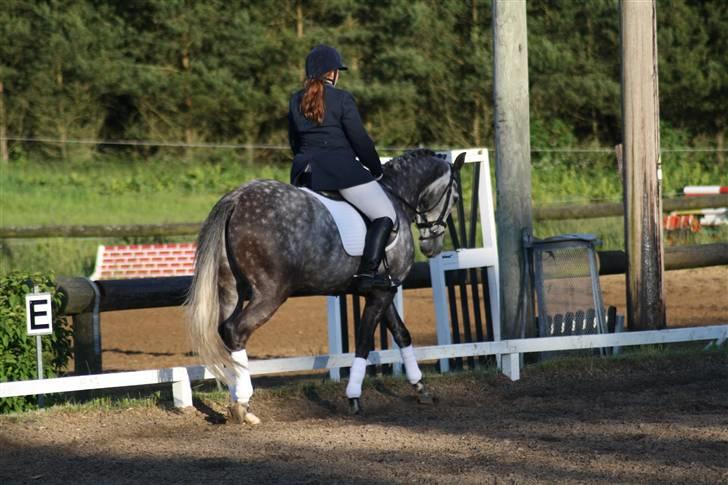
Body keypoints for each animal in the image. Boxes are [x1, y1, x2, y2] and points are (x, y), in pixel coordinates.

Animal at [185, 148, 464, 424]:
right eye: (456, 198)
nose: (432, 248)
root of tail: (237, 198)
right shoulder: (382, 293)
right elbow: (364, 341)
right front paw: (354, 397)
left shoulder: (382, 289)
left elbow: (401, 333)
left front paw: (421, 388)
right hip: (271, 293)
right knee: (236, 330)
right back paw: (242, 404)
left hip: (230, 290)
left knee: (224, 332)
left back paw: (238, 400)